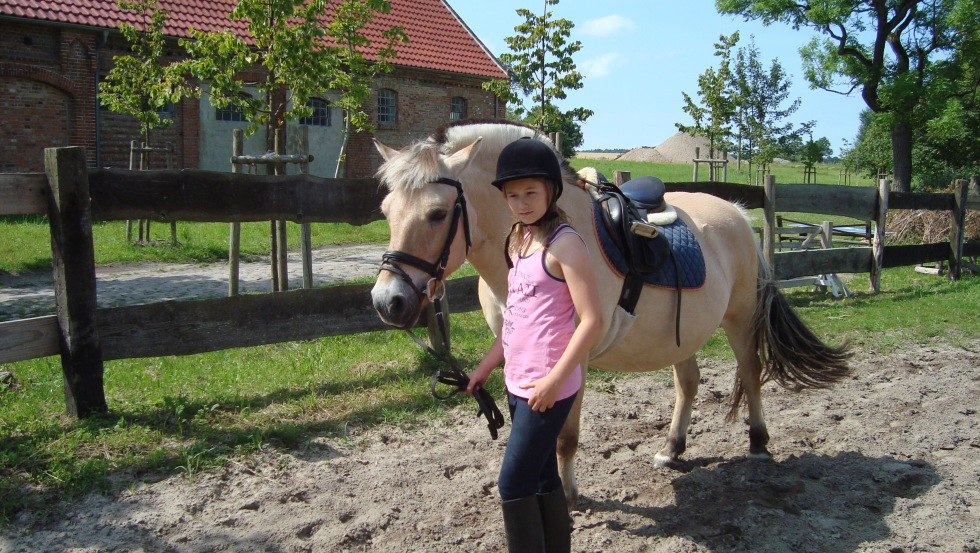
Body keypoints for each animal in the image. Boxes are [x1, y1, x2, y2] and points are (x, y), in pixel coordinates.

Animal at [370, 121, 848, 504]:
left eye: (436, 213)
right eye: (386, 211)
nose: (386, 302)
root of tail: (737, 212)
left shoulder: (573, 359)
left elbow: (564, 437)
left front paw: (568, 496)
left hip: (740, 318)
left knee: (750, 372)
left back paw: (759, 444)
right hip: (683, 333)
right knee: (689, 382)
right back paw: (672, 449)